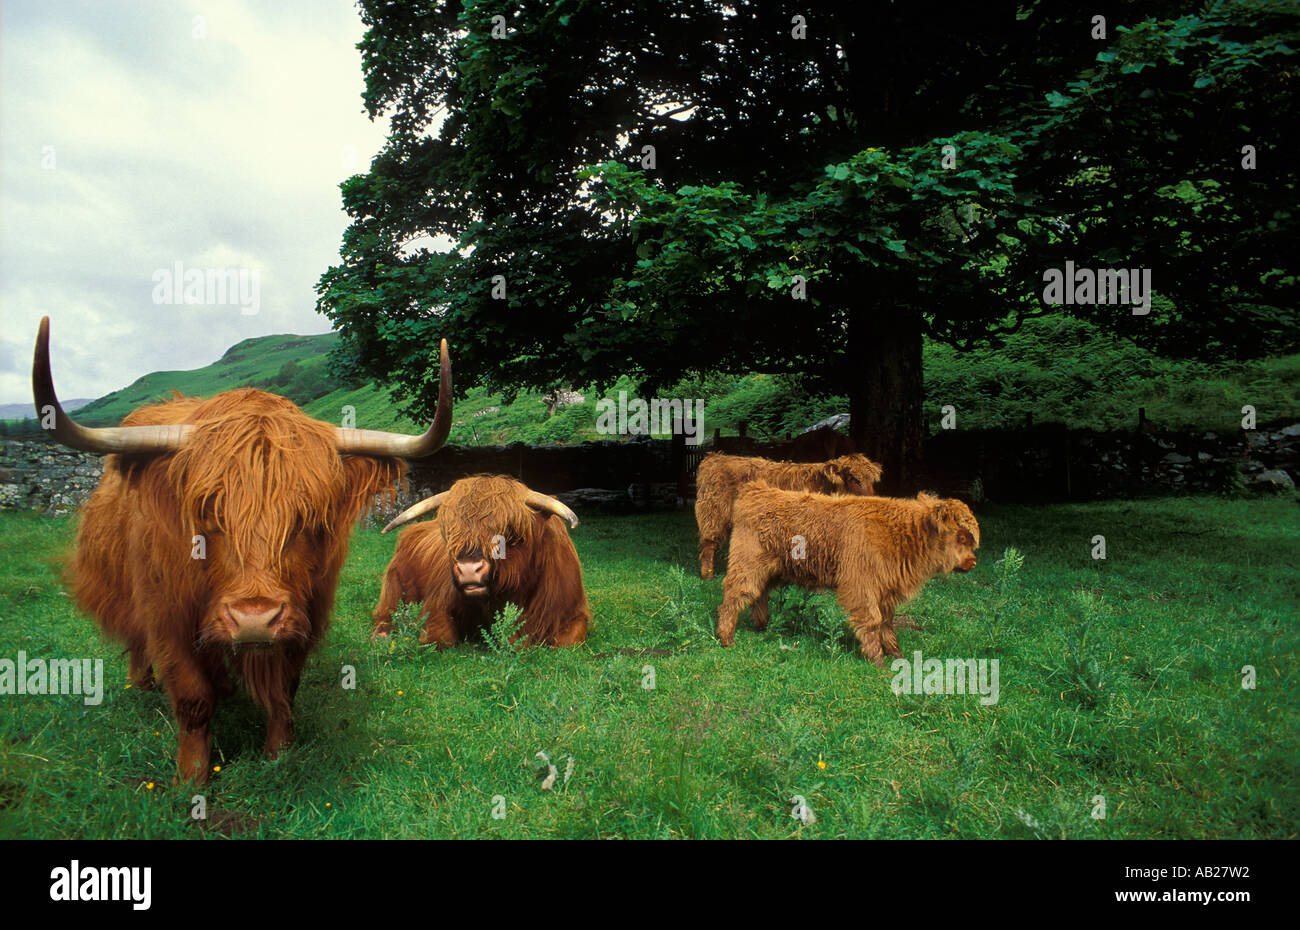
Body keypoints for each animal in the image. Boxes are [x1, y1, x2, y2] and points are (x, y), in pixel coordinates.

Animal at [31, 317, 453, 784]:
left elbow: (285, 689)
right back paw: (141, 684)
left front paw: (279, 754)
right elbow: (192, 697)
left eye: (306, 516)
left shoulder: (304, 611)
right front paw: (191, 778)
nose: (254, 620)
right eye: (206, 511)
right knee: (138, 641)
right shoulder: (168, 614)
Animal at [372, 475, 590, 647]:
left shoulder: (574, 613)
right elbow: (438, 637)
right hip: (393, 586)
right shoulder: (437, 606)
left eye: (511, 532)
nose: (468, 570)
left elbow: (568, 641)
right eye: (449, 532)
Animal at [694, 452, 882, 580]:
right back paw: (708, 576)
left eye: (872, 480)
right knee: (709, 543)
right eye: (853, 478)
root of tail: (714, 457)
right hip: (714, 513)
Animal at [716, 482, 980, 666]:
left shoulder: (885, 591)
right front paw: (877, 660)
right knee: (734, 594)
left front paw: (896, 654)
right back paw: (726, 638)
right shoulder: (862, 587)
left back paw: (763, 626)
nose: (972, 562)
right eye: (962, 536)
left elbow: (886, 623)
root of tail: (757, 490)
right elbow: (872, 621)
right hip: (747, 563)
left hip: (772, 569)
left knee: (758, 595)